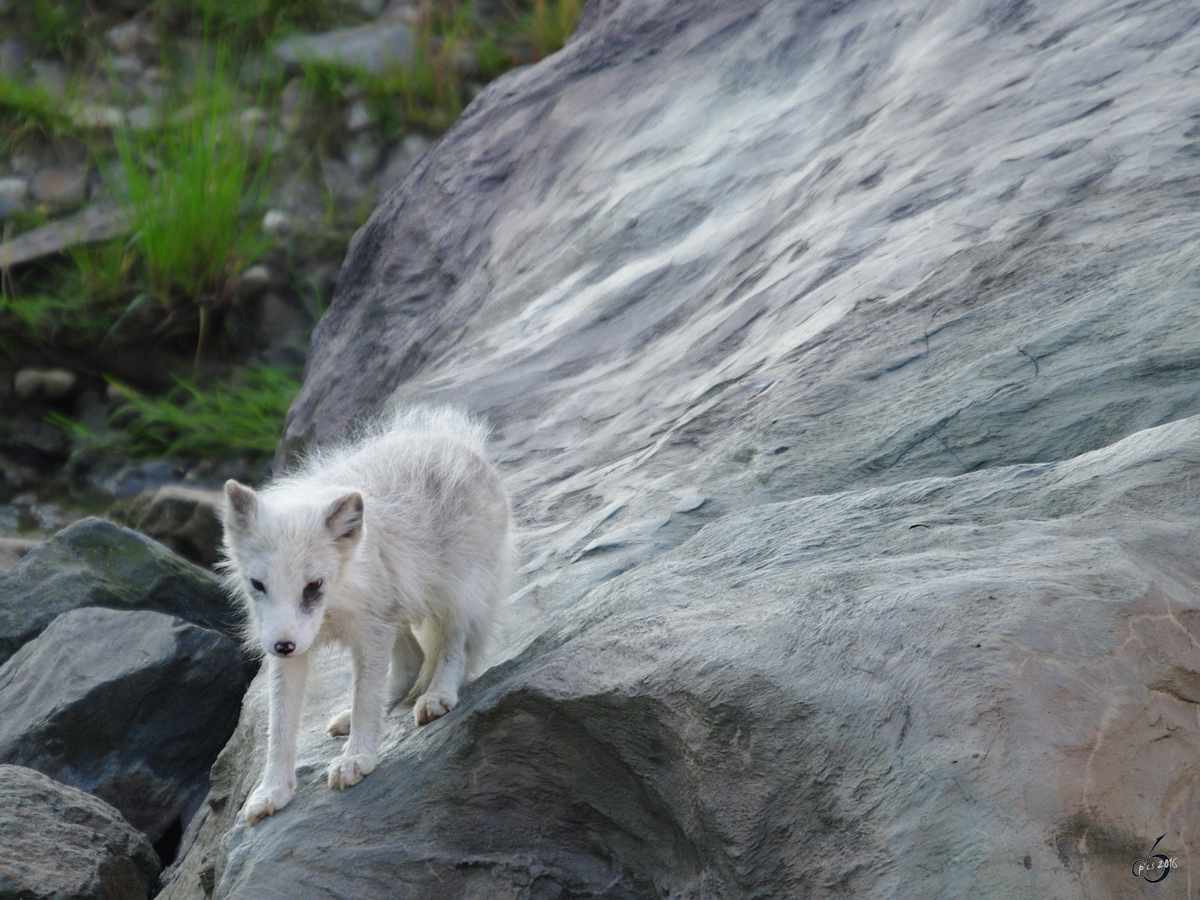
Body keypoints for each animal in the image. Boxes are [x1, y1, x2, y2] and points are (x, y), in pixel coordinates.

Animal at [220, 408, 511, 825]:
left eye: (314, 585)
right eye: (258, 585)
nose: (284, 646)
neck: (335, 601)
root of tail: (458, 441)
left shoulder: (370, 630)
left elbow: (366, 698)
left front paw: (357, 758)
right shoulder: (293, 643)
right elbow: (280, 727)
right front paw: (273, 790)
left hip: (454, 591)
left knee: (452, 645)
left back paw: (438, 695)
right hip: (395, 611)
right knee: (412, 660)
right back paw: (354, 717)